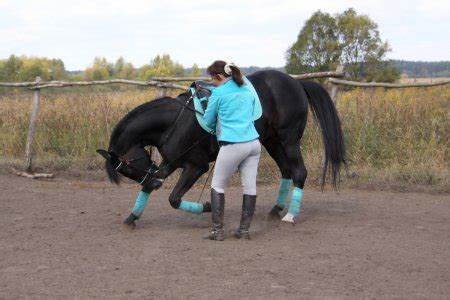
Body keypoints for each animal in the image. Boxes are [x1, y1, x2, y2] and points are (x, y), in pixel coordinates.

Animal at [97, 69, 344, 230]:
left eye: (129, 167)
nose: (156, 183)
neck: (174, 122)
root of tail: (296, 83)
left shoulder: (196, 166)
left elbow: (174, 199)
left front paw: (206, 207)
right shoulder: (169, 163)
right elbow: (148, 189)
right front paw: (132, 217)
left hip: (289, 139)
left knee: (299, 172)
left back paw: (291, 215)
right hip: (272, 141)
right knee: (286, 170)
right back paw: (276, 210)